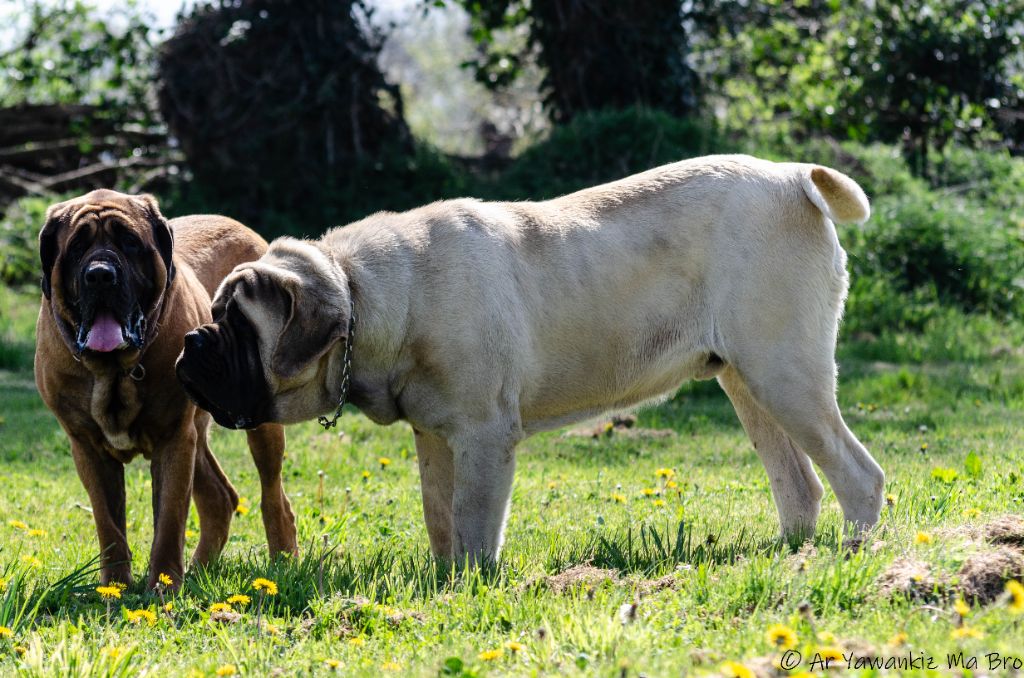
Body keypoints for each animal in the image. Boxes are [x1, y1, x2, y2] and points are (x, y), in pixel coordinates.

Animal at [36, 191, 292, 589]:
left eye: (129, 242)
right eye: (76, 247)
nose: (100, 275)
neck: (114, 370)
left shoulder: (174, 440)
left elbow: (170, 519)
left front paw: (164, 585)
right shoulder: (87, 447)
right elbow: (108, 525)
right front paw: (114, 587)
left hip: (254, 426)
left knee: (273, 496)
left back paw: (282, 561)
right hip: (196, 433)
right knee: (220, 497)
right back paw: (202, 569)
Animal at [178, 156, 888, 565]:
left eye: (237, 326)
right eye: (213, 314)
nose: (191, 342)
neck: (366, 297)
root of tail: (793, 177)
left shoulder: (484, 437)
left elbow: (472, 522)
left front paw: (470, 583)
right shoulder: (436, 439)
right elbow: (441, 518)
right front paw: (444, 582)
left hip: (785, 375)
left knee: (858, 474)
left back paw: (850, 556)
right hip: (750, 385)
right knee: (799, 484)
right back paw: (788, 556)